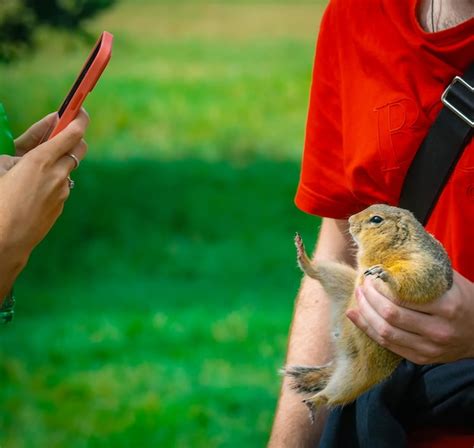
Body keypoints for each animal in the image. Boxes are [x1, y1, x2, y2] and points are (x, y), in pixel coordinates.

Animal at [286, 205, 452, 412]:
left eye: (376, 219)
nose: (350, 220)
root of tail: (342, 355)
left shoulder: (424, 265)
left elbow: (418, 281)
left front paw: (386, 274)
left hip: (362, 372)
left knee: (342, 390)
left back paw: (316, 401)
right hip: (343, 281)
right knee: (320, 273)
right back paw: (305, 259)